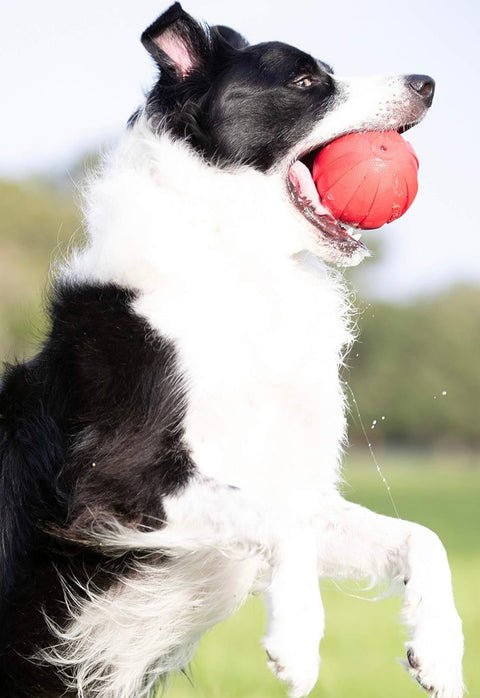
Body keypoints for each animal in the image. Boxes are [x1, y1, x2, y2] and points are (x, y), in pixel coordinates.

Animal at [0, 5, 464, 696]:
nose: (428, 82)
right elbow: (284, 524)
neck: (240, 261)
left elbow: (422, 535)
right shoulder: (112, 481)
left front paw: (438, 651)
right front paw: (296, 643)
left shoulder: (291, 481)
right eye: (305, 81)